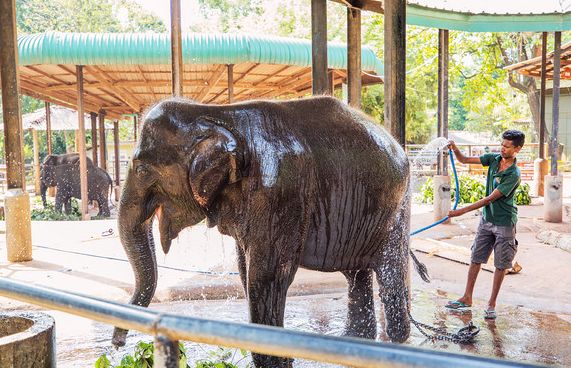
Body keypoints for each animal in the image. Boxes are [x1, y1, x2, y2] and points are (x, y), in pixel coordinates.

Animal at [110, 96, 428, 366]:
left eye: (141, 169)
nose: (118, 343)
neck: (217, 114)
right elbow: (244, 271)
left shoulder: (281, 188)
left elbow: (266, 276)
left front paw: (274, 362)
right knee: (356, 276)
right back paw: (354, 341)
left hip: (398, 209)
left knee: (390, 275)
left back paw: (396, 343)